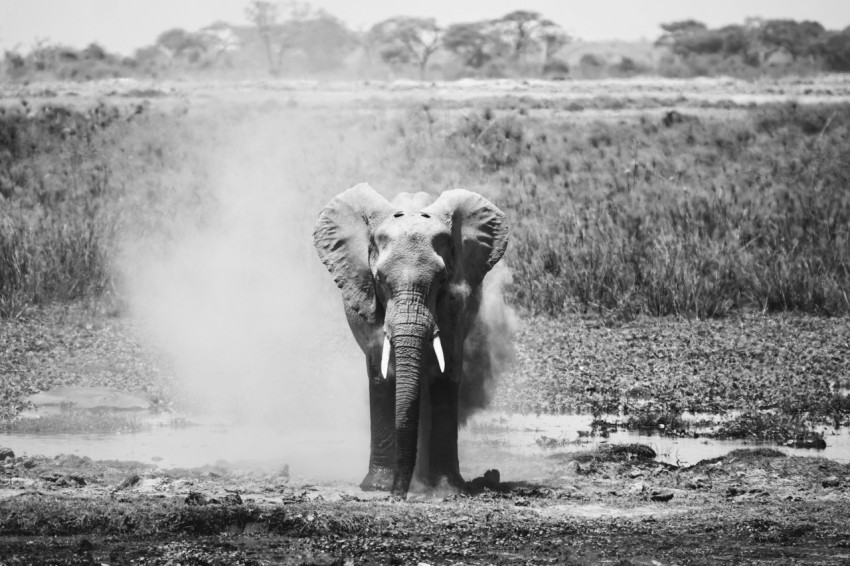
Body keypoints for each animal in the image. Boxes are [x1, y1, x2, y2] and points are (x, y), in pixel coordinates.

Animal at [314, 184, 506, 500]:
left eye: (442, 281)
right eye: (380, 280)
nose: (397, 496)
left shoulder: (456, 307)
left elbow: (446, 370)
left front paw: (447, 487)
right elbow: (381, 372)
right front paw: (376, 487)